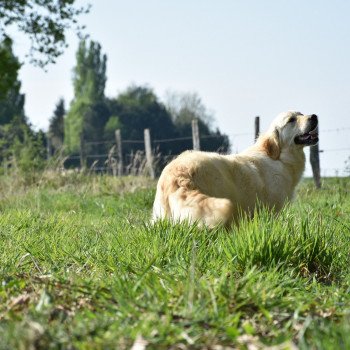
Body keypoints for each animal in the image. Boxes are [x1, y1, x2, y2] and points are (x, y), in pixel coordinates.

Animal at [152, 110, 318, 228]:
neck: (280, 157)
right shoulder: (270, 210)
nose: (314, 116)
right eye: (291, 120)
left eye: (301, 113)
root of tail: (178, 173)